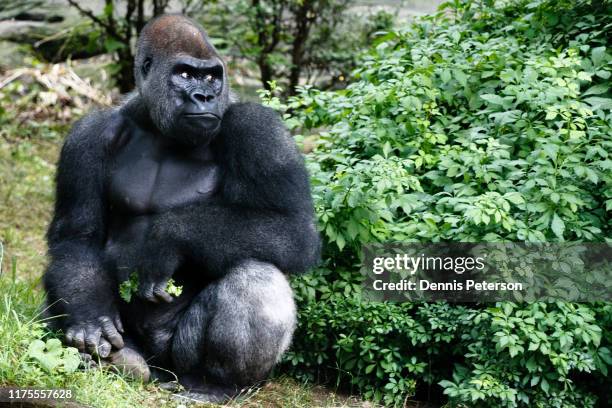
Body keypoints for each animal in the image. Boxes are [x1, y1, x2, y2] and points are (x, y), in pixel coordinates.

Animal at [43, 14, 320, 404]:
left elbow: (294, 229)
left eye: (212, 77)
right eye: (185, 74)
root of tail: (161, 370)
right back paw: (117, 362)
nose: (205, 96)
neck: (157, 126)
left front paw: (167, 237)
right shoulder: (87, 135)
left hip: (179, 357)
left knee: (258, 277)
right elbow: (76, 237)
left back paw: (217, 384)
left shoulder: (260, 129)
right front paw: (89, 317)